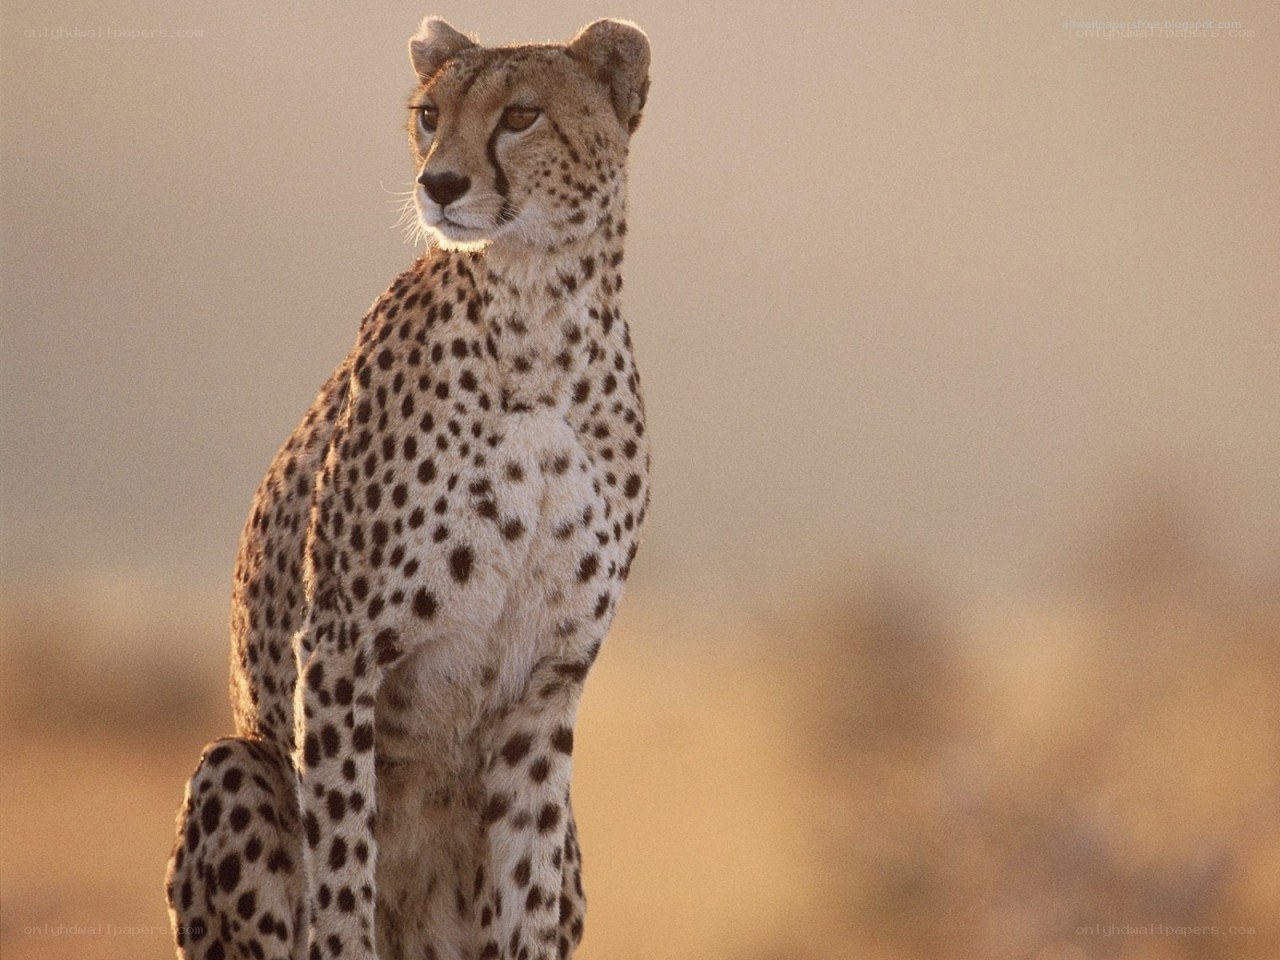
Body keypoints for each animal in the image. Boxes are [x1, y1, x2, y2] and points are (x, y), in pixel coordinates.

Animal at [165, 16, 651, 960]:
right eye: (430, 114)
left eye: (522, 115)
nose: (440, 183)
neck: (541, 321)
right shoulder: (340, 644)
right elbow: (344, 861)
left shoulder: (547, 683)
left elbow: (524, 881)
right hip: (233, 763)